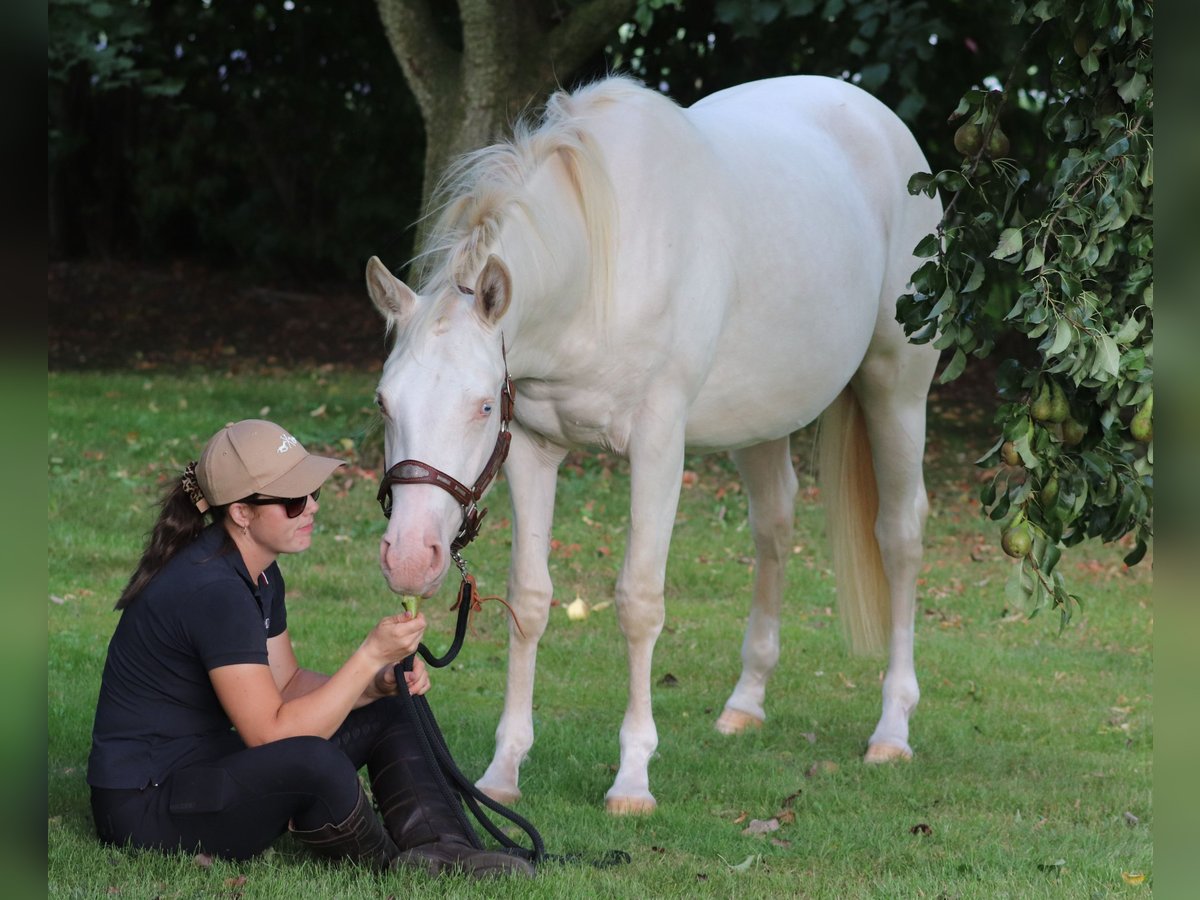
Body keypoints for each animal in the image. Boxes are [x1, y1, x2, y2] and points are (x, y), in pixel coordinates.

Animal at [365, 74, 942, 815]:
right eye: (385, 401)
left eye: (483, 403)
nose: (410, 558)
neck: (601, 269)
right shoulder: (532, 448)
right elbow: (530, 599)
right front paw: (504, 767)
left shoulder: (659, 446)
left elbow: (639, 603)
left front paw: (633, 776)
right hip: (761, 418)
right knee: (775, 528)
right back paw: (745, 703)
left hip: (896, 387)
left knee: (899, 536)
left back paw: (892, 728)